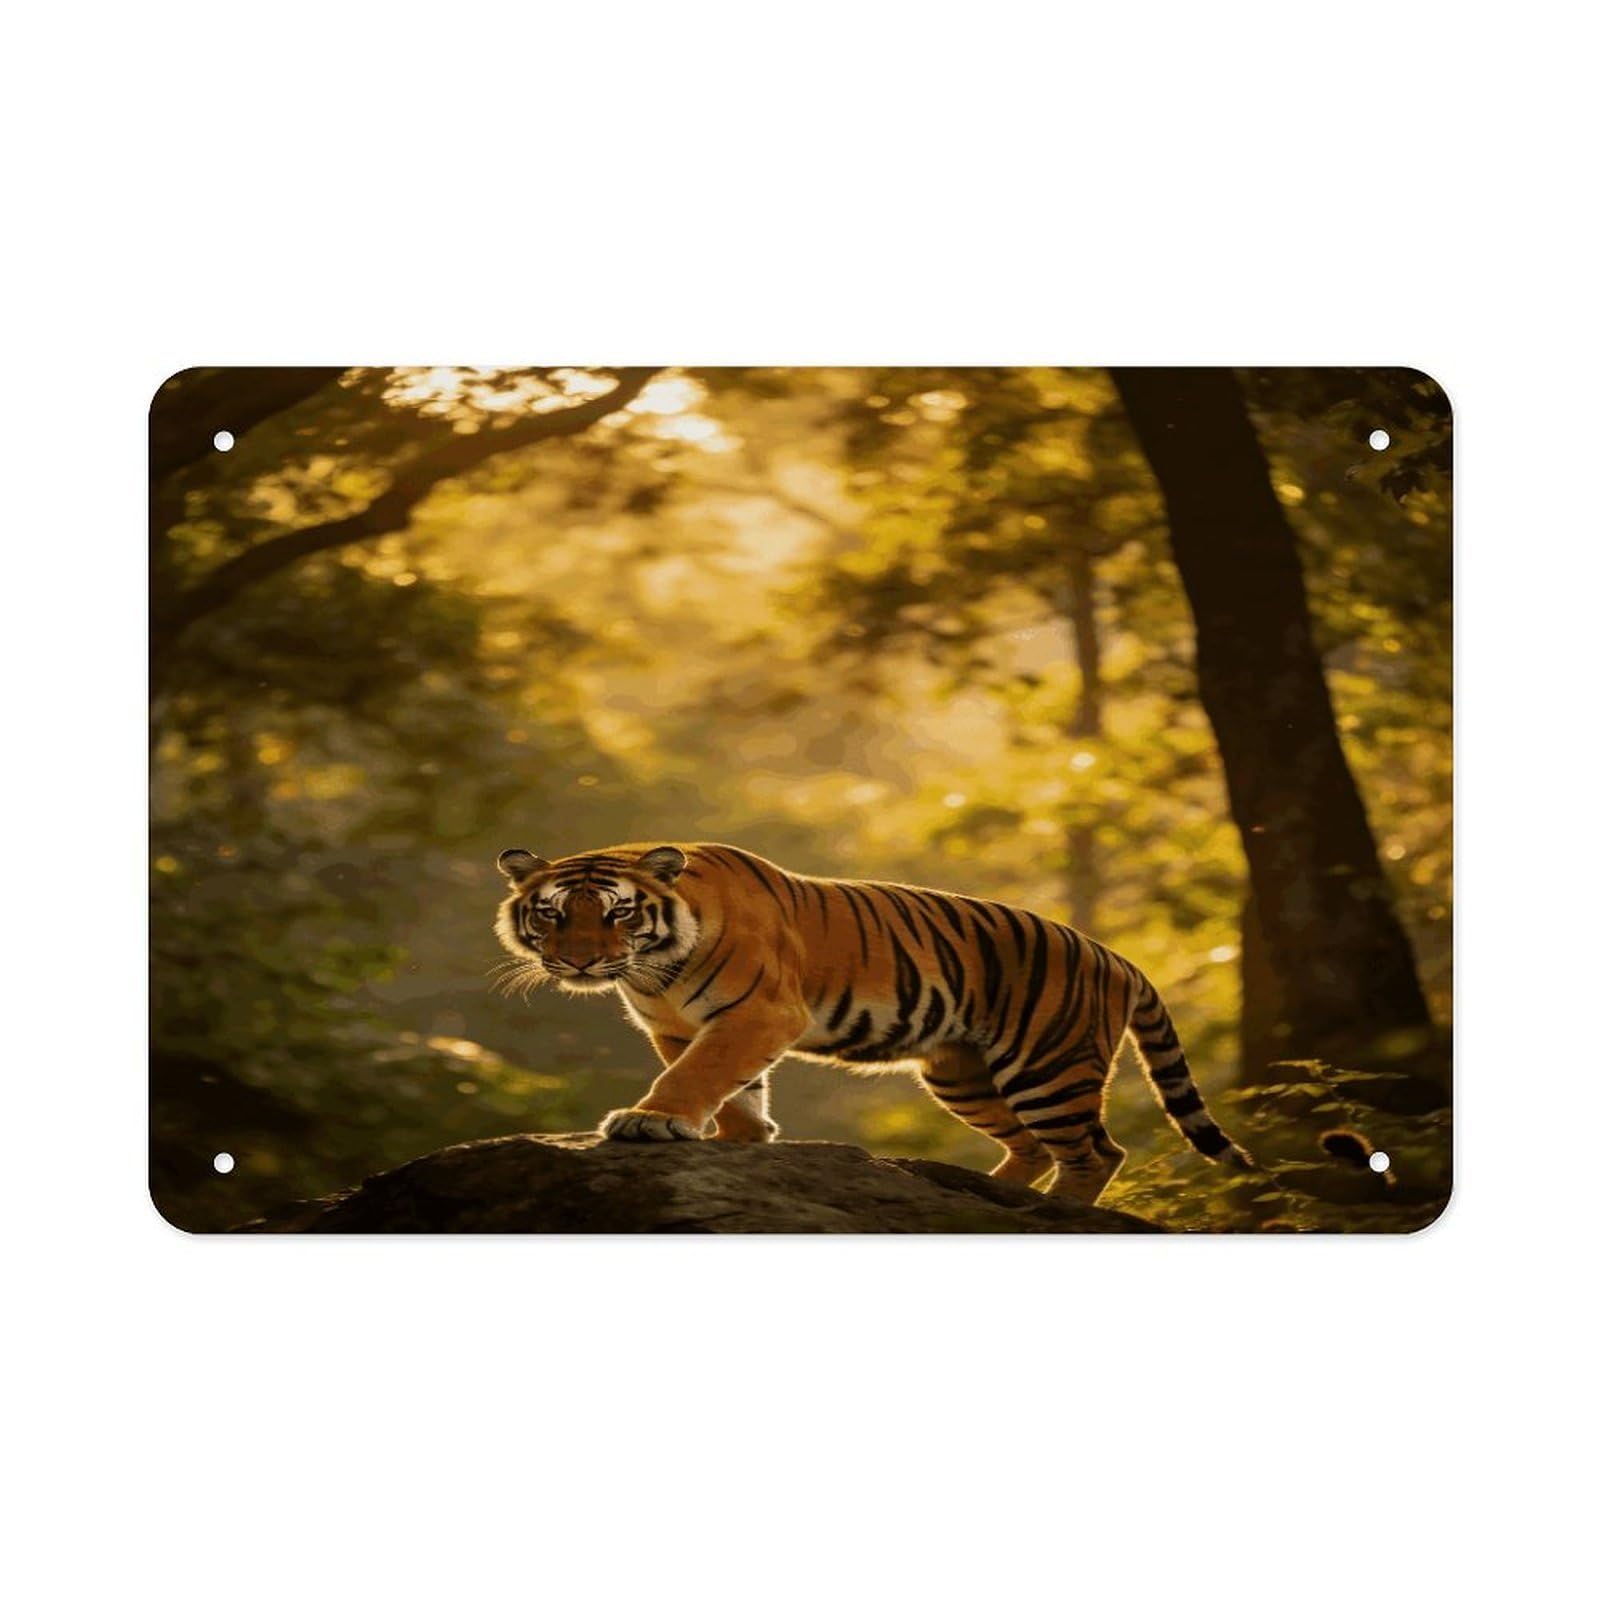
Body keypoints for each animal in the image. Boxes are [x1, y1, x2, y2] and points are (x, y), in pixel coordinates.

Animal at [493, 841, 1251, 1202]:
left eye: (618, 912)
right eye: (551, 913)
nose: (581, 961)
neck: (653, 967)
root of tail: (1113, 954)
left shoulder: (759, 1013)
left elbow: (700, 1075)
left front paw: (649, 1122)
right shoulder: (679, 1026)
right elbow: (730, 1087)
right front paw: (745, 1139)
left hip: (1047, 1064)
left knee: (1096, 1151)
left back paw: (1055, 1213)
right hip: (963, 1074)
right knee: (1035, 1147)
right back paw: (992, 1193)